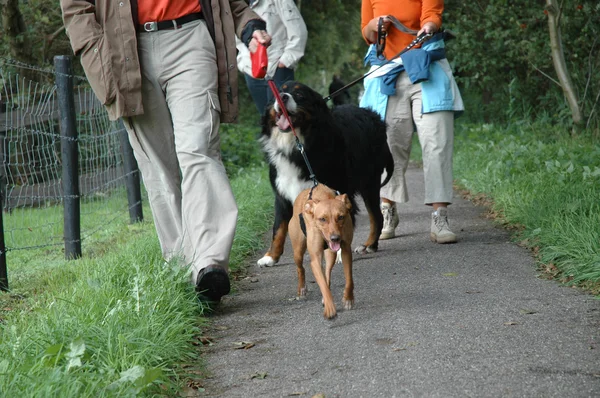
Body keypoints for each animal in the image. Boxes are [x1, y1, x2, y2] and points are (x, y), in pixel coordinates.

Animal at [288, 184, 354, 320]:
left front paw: (348, 299)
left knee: (327, 272)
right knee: (300, 268)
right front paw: (330, 308)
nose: (335, 238)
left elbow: (349, 278)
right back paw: (302, 288)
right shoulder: (315, 259)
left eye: (341, 217)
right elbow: (323, 285)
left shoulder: (346, 250)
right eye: (322, 219)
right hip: (298, 251)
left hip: (331, 254)